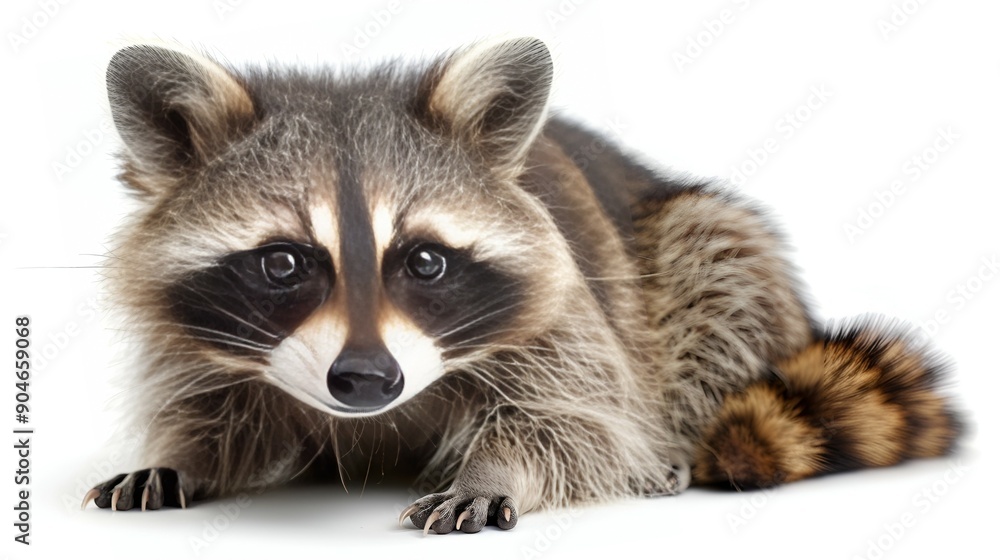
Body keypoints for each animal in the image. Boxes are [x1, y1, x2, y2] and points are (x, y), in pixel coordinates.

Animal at [82, 38, 962, 534]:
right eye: (283, 264)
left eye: (425, 262)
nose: (366, 380)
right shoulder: (200, 339)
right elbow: (216, 410)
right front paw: (182, 453)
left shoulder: (564, 316)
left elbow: (572, 421)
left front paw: (496, 470)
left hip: (699, 244)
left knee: (722, 282)